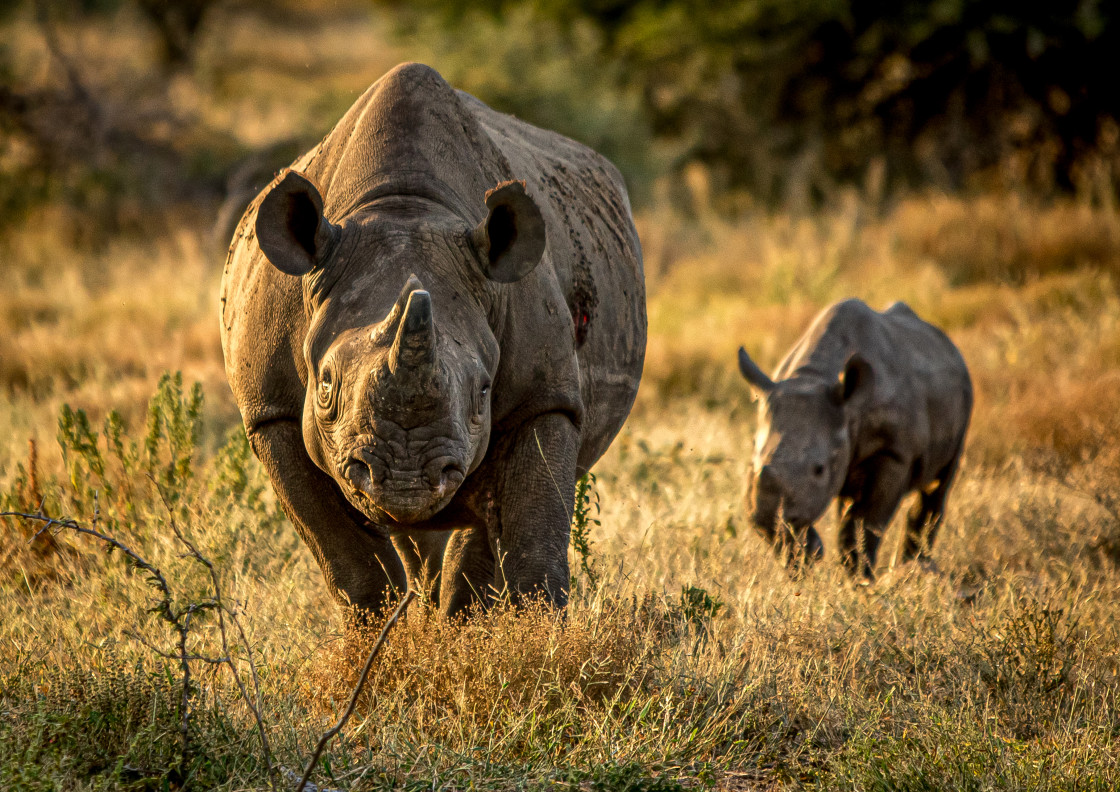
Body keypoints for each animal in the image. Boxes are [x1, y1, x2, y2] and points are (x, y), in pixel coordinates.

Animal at [219, 63, 649, 618]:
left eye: (483, 390)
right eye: (326, 385)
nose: (406, 479)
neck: (402, 206)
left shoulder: (545, 397)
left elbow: (534, 543)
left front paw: (533, 634)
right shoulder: (269, 411)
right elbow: (348, 560)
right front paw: (376, 635)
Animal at [734, 300, 972, 578]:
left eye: (819, 469)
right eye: (752, 463)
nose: (764, 516)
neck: (812, 377)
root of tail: (948, 343)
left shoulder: (893, 453)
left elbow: (865, 520)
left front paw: (858, 577)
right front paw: (807, 556)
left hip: (964, 401)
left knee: (939, 483)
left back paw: (915, 569)